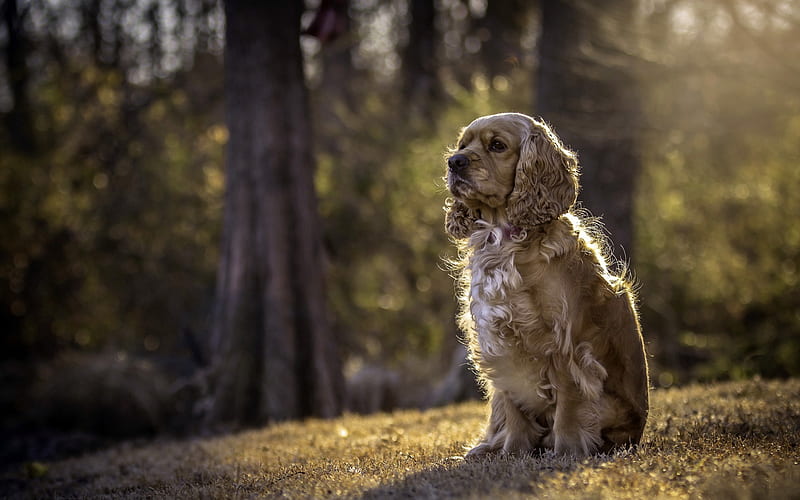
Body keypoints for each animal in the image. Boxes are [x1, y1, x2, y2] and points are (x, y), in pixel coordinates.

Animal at [444, 112, 648, 458]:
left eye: (497, 145)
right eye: (462, 145)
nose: (454, 162)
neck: (506, 237)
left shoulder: (565, 342)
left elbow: (569, 402)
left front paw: (567, 450)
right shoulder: (499, 339)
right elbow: (513, 405)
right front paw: (513, 452)